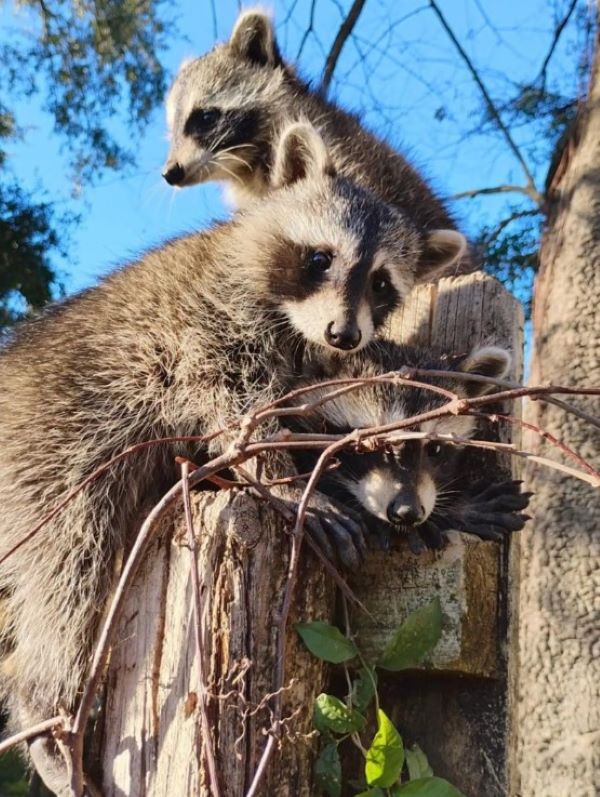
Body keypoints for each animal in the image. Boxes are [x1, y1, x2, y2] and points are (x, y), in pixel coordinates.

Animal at [0, 123, 445, 795]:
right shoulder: (205, 322)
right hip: (51, 444)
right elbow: (232, 406)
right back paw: (43, 702)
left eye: (382, 283)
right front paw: (282, 481)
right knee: (70, 564)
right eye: (320, 259)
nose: (345, 335)